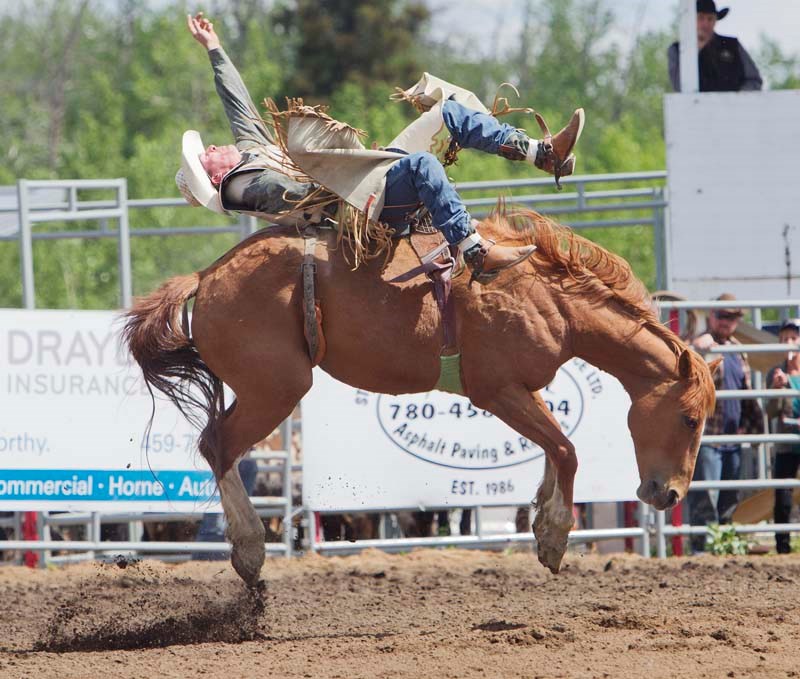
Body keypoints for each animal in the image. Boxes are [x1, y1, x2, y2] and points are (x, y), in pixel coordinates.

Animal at [125, 210, 720, 588]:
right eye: (690, 419)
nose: (669, 494)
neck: (552, 300)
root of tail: (207, 275)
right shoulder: (497, 390)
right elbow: (566, 450)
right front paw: (552, 537)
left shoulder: (525, 390)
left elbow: (556, 447)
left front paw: (540, 518)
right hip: (276, 388)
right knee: (218, 445)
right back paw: (249, 551)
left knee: (216, 445)